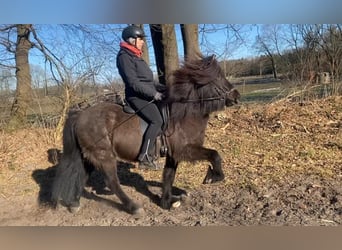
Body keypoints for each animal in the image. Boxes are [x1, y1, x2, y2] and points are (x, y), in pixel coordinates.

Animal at [52, 55, 240, 215]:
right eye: (217, 78)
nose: (236, 97)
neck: (183, 114)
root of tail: (80, 115)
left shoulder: (173, 154)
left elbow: (168, 176)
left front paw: (167, 202)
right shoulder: (185, 150)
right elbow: (214, 155)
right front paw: (213, 177)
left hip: (90, 156)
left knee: (82, 176)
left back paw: (74, 203)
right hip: (104, 156)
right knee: (111, 182)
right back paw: (133, 207)